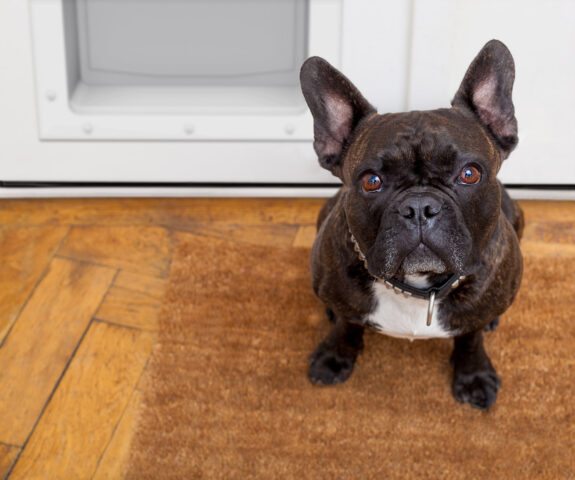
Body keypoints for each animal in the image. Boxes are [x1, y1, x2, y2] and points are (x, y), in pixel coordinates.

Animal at [302, 39, 528, 410]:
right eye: (371, 181)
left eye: (469, 173)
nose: (420, 207)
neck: (418, 289)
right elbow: (348, 325)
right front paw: (334, 357)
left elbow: (470, 338)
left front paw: (473, 375)